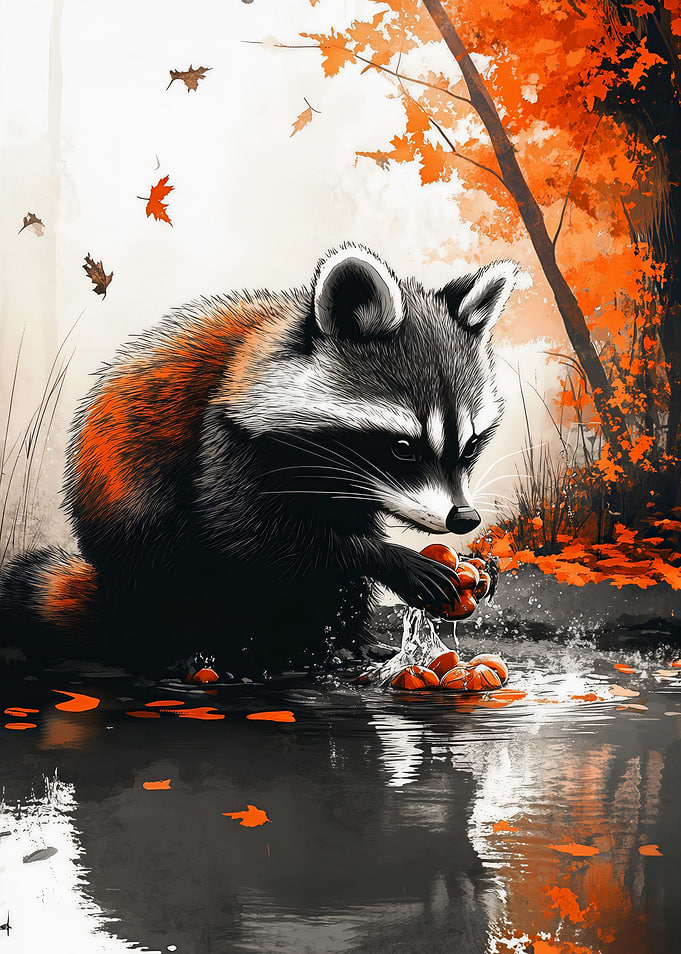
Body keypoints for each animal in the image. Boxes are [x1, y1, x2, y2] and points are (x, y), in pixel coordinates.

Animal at [0, 244, 516, 674]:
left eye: (470, 446)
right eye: (403, 447)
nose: (464, 518)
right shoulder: (226, 433)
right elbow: (245, 532)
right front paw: (391, 558)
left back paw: (341, 641)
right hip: (130, 517)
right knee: (166, 573)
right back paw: (189, 651)